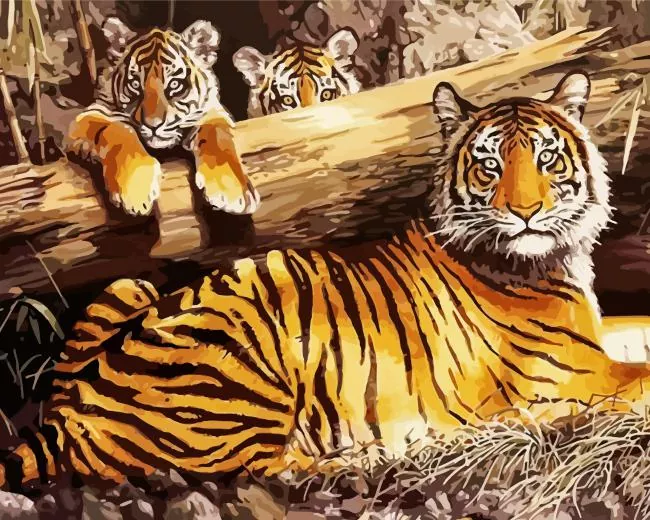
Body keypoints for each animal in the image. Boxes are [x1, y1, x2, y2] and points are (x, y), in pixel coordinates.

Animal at [3, 71, 650, 493]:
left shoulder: (596, 337)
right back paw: (366, 460)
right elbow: (638, 379)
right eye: (490, 165)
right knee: (244, 470)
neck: (554, 259)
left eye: (546, 159)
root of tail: (70, 416)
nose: (525, 213)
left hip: (127, 289)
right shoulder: (573, 371)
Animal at [66, 17, 259, 216]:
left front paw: (230, 189)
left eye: (174, 84)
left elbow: (218, 138)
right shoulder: (90, 115)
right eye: (135, 84)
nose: (153, 125)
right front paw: (136, 187)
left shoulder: (211, 112)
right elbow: (117, 130)